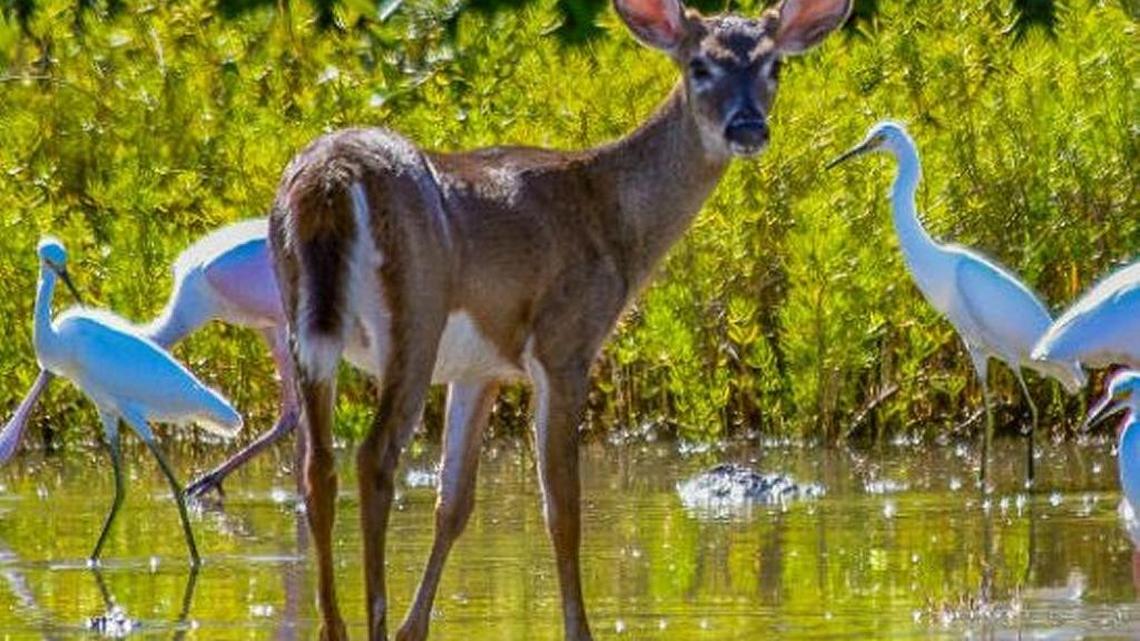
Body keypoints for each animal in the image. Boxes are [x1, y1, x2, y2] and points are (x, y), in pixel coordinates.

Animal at [268, 0, 851, 639]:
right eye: (700, 65)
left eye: (773, 66)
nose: (747, 128)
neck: (612, 216)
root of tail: (330, 180)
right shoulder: (566, 342)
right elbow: (563, 507)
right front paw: (578, 627)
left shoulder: (479, 367)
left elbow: (455, 502)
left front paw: (413, 627)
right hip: (415, 313)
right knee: (373, 457)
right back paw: (368, 620)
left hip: (302, 316)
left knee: (315, 467)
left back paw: (335, 625)